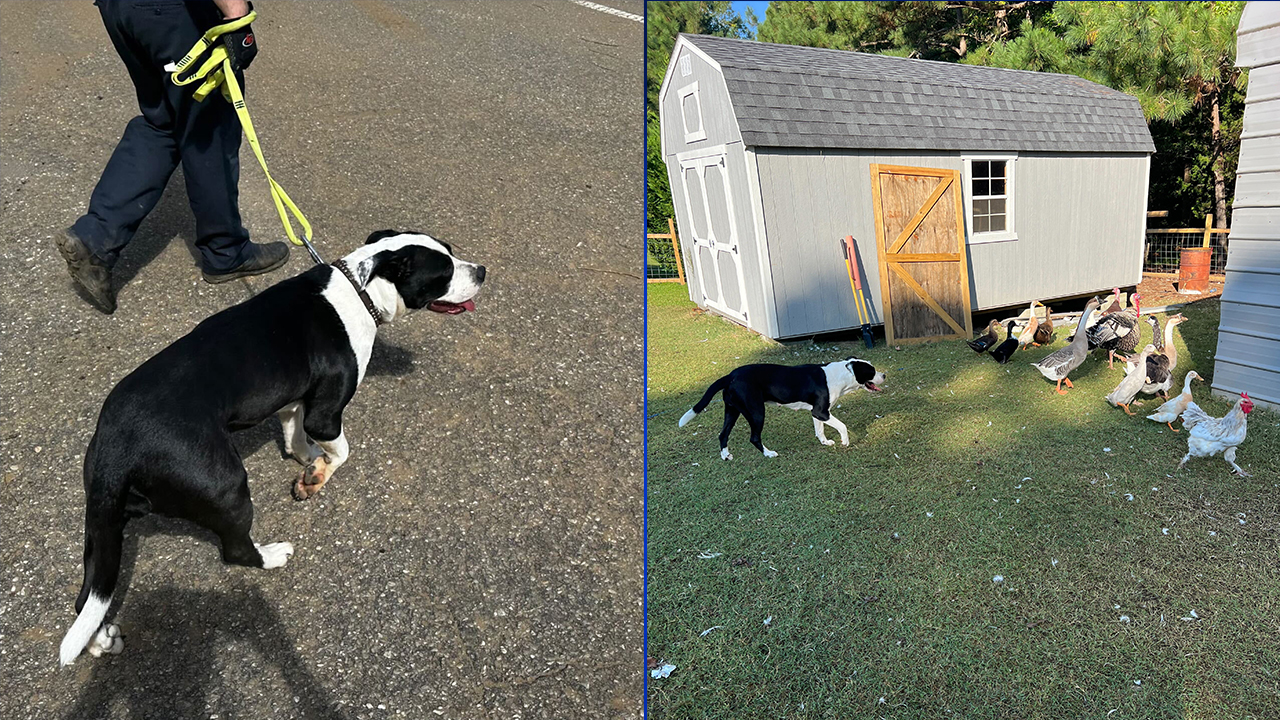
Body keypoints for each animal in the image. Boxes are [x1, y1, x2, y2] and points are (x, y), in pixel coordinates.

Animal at [55, 228, 486, 661]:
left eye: (451, 252)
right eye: (444, 272)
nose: (482, 270)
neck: (359, 289)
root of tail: (118, 446)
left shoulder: (294, 403)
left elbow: (296, 438)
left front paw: (308, 462)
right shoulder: (324, 415)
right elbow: (342, 451)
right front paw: (316, 476)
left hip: (103, 524)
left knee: (87, 598)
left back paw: (99, 641)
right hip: (226, 486)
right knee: (235, 551)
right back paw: (273, 555)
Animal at [675, 356, 885, 458]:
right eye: (872, 371)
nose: (884, 375)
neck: (841, 374)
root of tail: (731, 375)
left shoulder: (816, 413)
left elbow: (820, 430)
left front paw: (825, 442)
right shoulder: (821, 412)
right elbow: (842, 426)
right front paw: (845, 441)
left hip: (732, 411)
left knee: (723, 435)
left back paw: (726, 456)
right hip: (757, 412)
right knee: (754, 437)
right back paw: (768, 454)